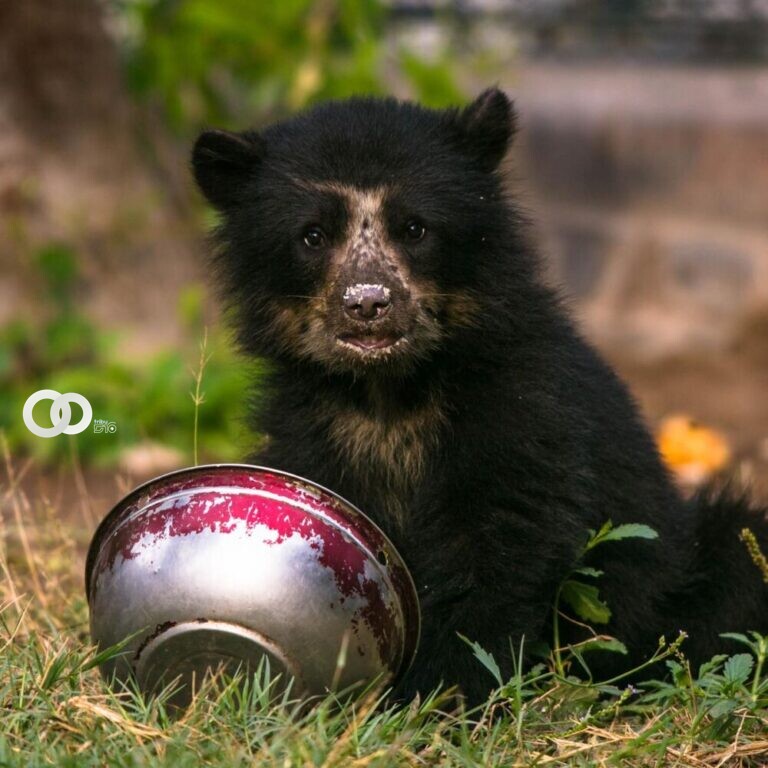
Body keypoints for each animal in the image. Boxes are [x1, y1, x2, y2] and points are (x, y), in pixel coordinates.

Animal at [191, 88, 768, 704]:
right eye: (313, 235)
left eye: (415, 229)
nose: (368, 302)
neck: (389, 390)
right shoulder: (313, 426)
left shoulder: (522, 408)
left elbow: (498, 540)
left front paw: (439, 693)